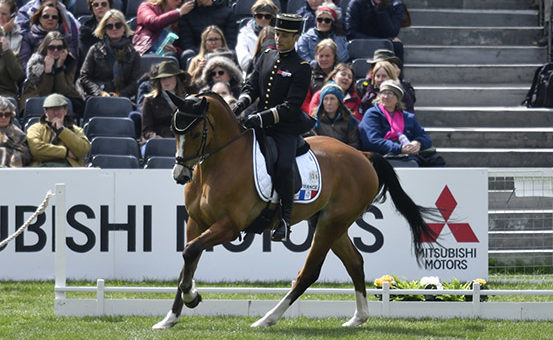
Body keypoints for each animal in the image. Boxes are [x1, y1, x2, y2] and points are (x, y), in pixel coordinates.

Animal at [152, 93, 436, 330]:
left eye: (195, 132)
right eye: (173, 132)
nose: (180, 175)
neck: (217, 165)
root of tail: (362, 155)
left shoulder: (230, 226)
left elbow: (190, 252)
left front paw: (192, 297)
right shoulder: (196, 222)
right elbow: (188, 259)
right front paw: (170, 318)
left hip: (331, 224)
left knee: (309, 272)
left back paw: (267, 319)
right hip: (329, 223)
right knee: (355, 263)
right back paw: (358, 318)